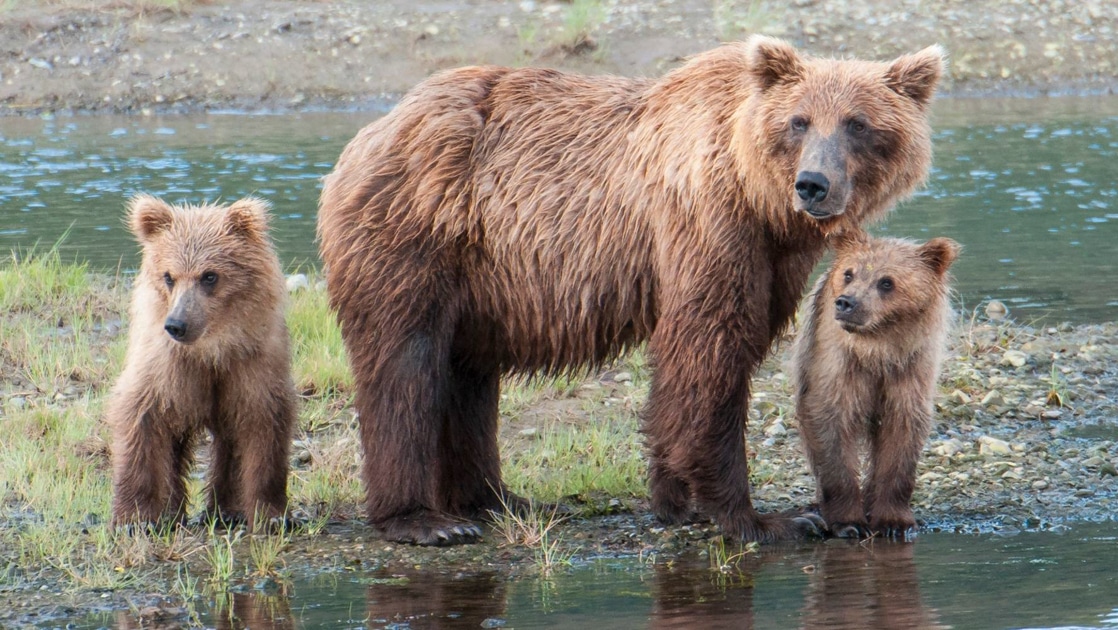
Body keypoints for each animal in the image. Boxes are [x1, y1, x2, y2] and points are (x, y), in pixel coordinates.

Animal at [107, 194, 296, 531]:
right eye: (169, 276)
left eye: (209, 275)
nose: (177, 325)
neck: (211, 349)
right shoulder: (165, 367)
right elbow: (142, 417)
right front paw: (136, 517)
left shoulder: (251, 366)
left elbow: (262, 426)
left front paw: (272, 514)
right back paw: (174, 512)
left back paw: (227, 511)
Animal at [790, 231, 960, 539]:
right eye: (848, 273)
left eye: (886, 282)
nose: (846, 303)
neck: (878, 350)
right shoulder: (837, 366)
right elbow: (831, 425)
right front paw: (848, 522)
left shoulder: (909, 371)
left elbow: (901, 434)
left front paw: (893, 521)